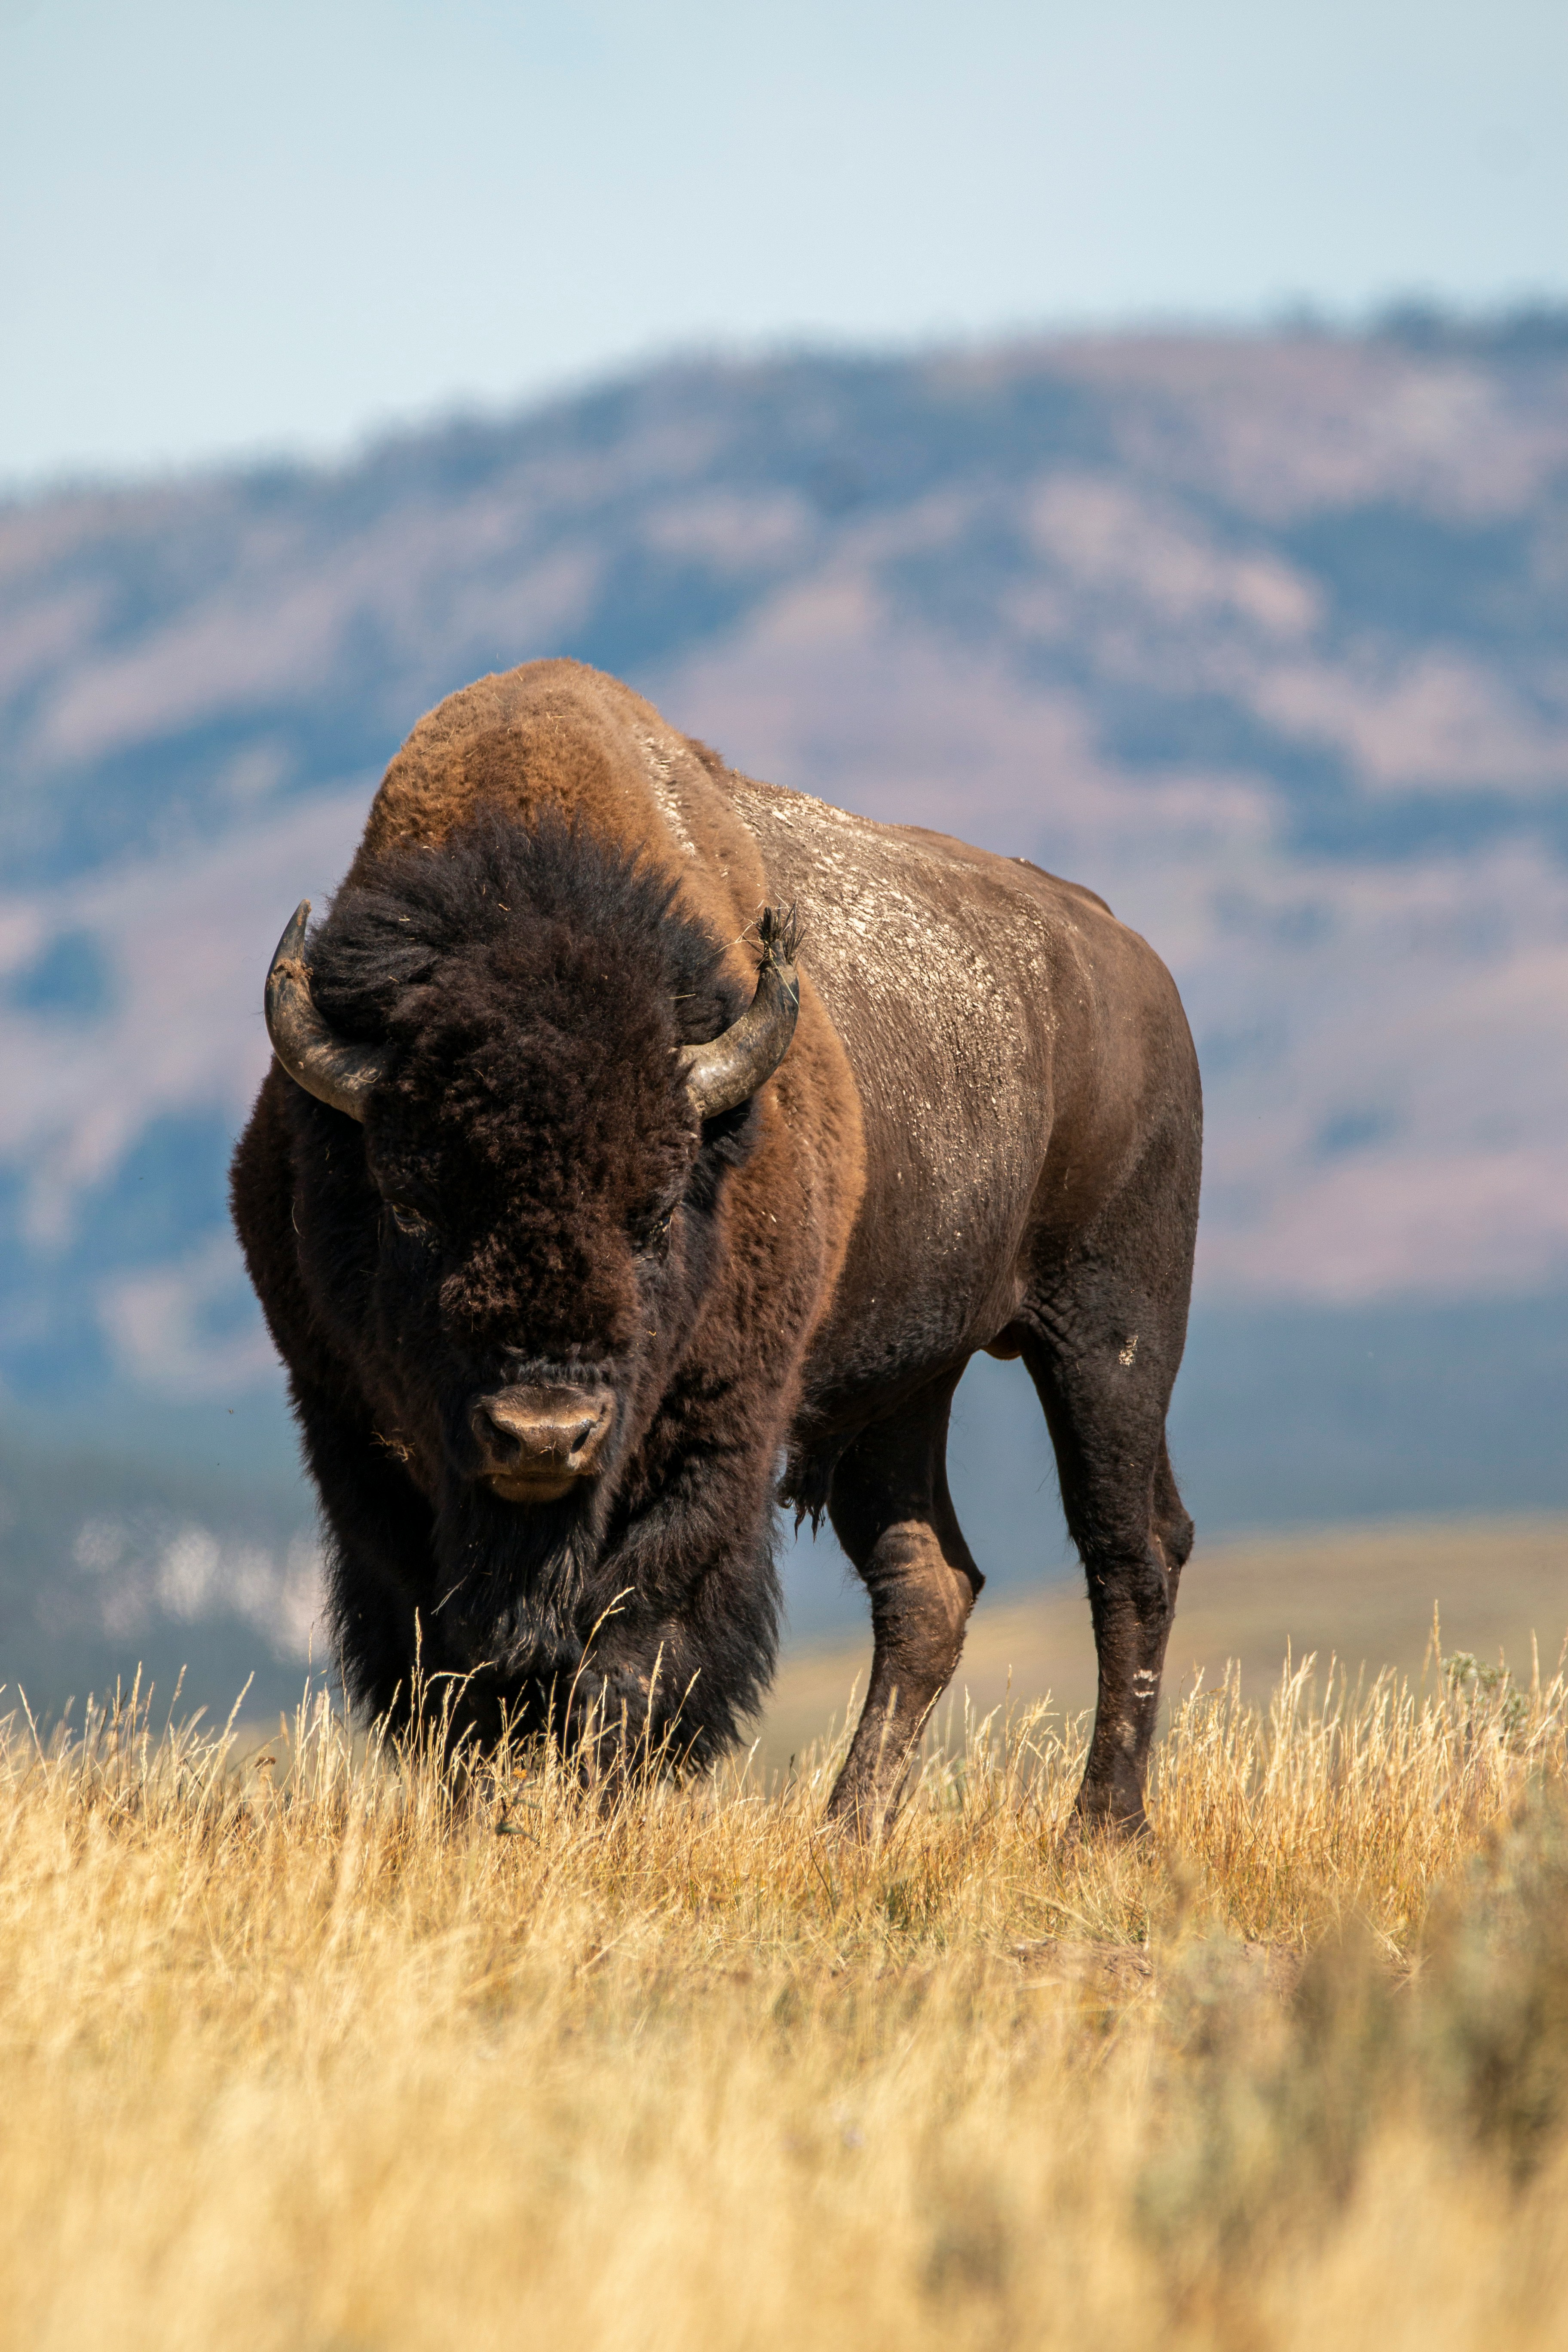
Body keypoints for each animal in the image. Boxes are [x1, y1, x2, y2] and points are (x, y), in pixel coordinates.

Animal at [231, 659, 1201, 1835]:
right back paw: (849, 1828)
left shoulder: (714, 1433)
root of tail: (1127, 956)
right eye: (410, 1206)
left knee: (1130, 1552)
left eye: (654, 1212)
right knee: (929, 1583)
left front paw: (598, 1813)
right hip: (903, 1388)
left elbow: (637, 1640)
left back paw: (1099, 1827)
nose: (544, 1434)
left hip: (1110, 1335)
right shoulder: (354, 1431)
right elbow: (444, 1663)